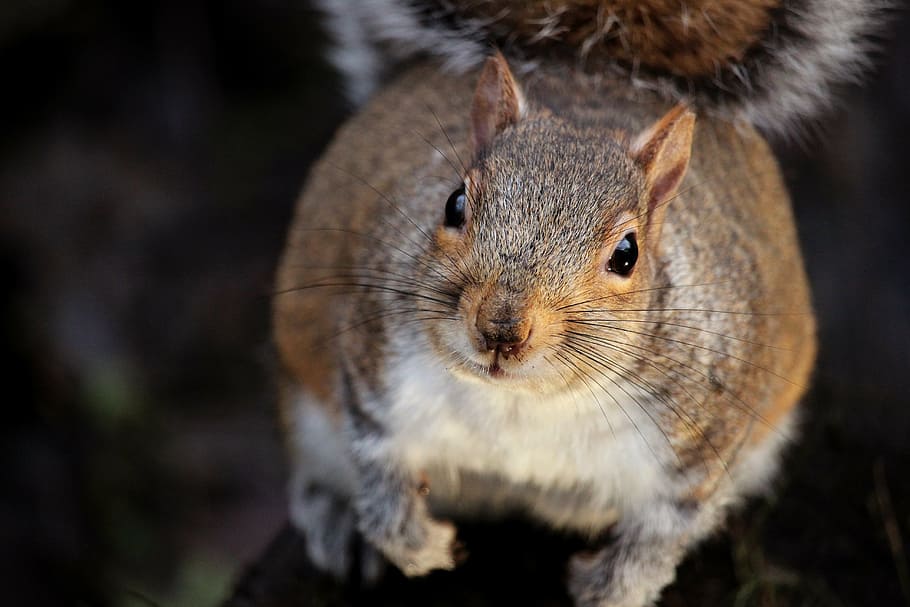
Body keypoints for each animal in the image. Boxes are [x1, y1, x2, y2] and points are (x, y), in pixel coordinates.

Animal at [271, 1, 879, 605]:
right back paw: (339, 522)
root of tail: (592, 68)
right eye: (454, 203)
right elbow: (378, 464)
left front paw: (609, 588)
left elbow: (663, 533)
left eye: (627, 254)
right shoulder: (374, 366)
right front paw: (415, 544)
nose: (500, 329)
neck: (523, 403)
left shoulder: (701, 442)